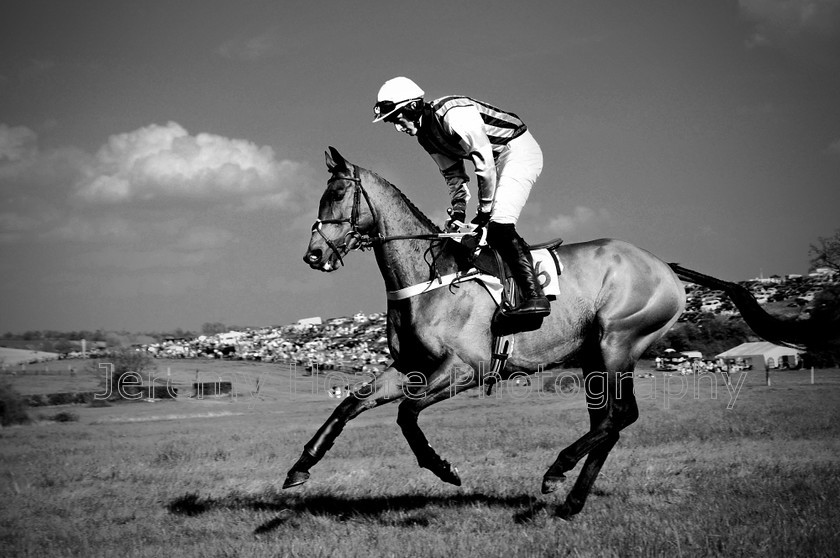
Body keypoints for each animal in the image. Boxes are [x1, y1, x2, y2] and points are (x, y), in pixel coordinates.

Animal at [286, 147, 832, 520]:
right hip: (594, 356)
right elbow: (350, 403)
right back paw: (570, 499)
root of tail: (665, 266)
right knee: (609, 422)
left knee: (617, 417)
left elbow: (406, 416)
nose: (313, 255)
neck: (429, 276)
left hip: (617, 342)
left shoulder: (465, 369)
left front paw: (444, 468)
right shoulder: (411, 366)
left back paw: (557, 472)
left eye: (336, 194)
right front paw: (301, 465)